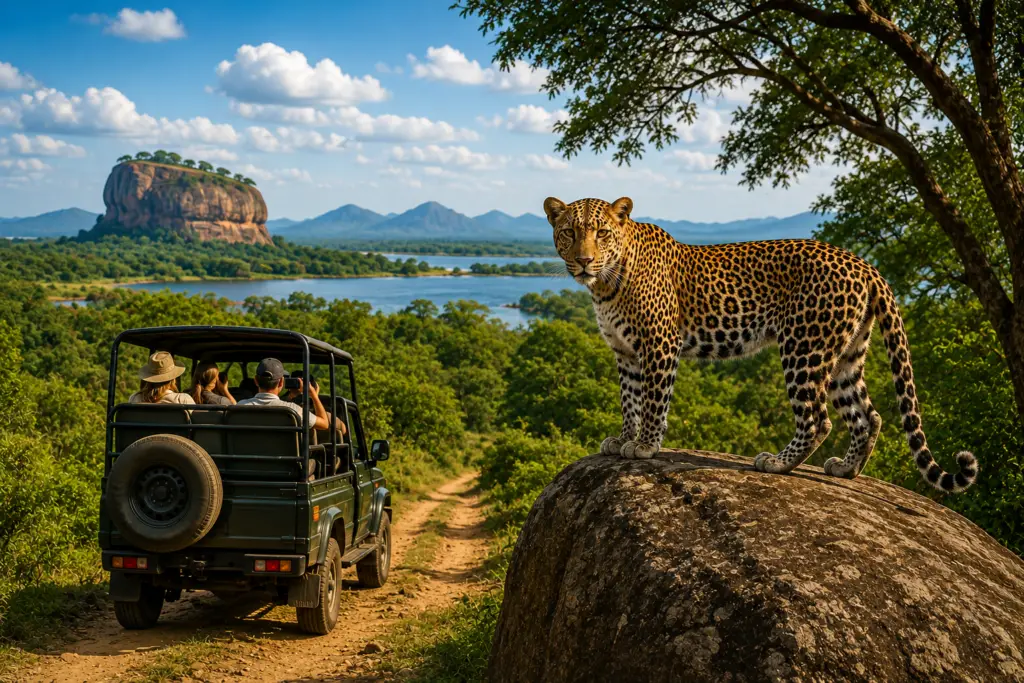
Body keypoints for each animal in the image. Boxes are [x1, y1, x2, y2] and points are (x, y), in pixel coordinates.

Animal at [543, 195, 978, 493]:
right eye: (569, 233)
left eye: (601, 233)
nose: (584, 261)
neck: (605, 286)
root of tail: (865, 265)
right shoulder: (626, 353)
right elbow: (629, 400)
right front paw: (623, 440)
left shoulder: (660, 344)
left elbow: (652, 401)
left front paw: (646, 446)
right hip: (847, 355)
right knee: (867, 415)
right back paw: (847, 469)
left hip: (804, 347)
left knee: (817, 418)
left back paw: (776, 464)